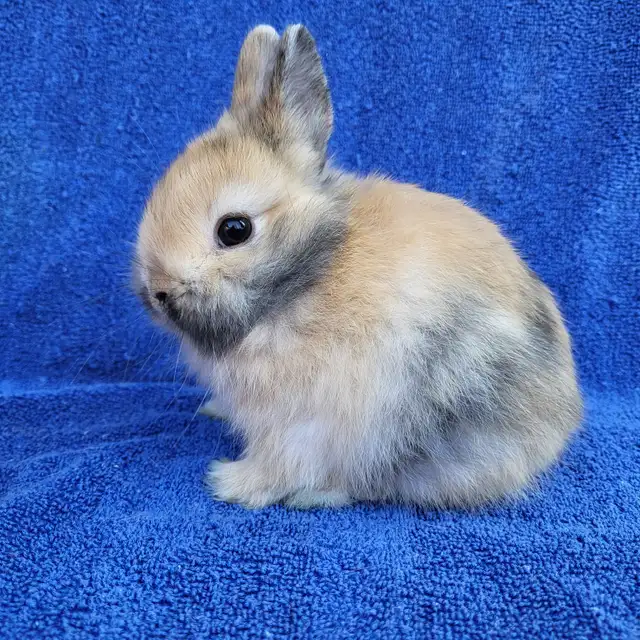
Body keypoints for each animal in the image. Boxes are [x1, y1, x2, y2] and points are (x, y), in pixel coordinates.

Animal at [134, 24, 583, 509]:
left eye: (234, 230)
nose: (156, 294)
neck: (307, 274)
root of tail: (557, 429)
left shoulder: (300, 420)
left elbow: (281, 461)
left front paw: (230, 483)